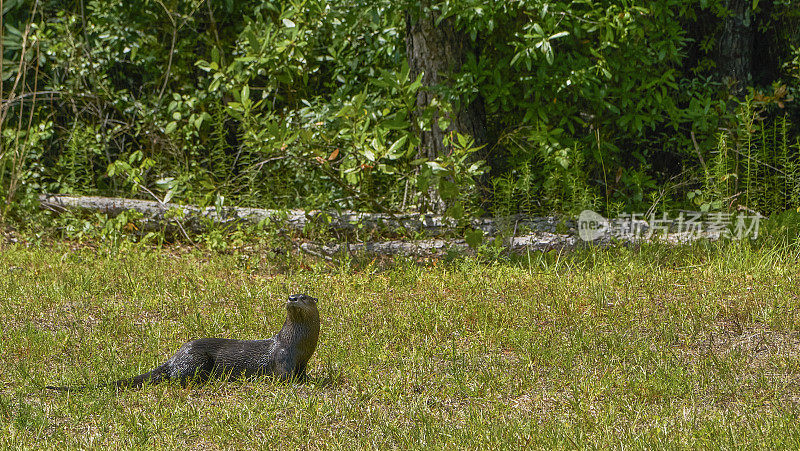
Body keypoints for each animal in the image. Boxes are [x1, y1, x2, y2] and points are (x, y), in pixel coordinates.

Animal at [46, 294, 318, 390]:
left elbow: (303, 373)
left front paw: (308, 380)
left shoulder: (303, 361)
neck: (299, 345)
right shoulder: (282, 357)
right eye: (292, 295)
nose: (292, 298)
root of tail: (175, 356)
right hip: (197, 361)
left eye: (304, 297)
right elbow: (285, 377)